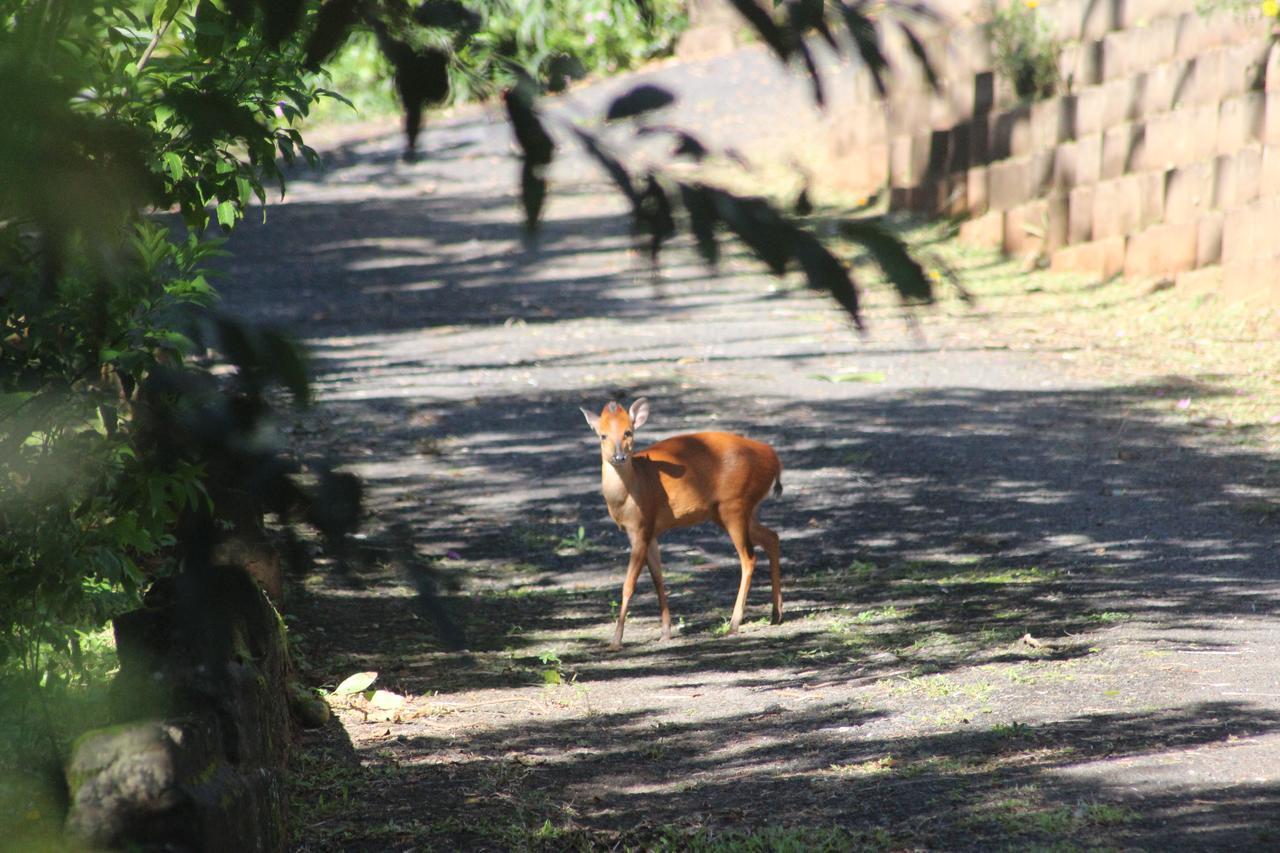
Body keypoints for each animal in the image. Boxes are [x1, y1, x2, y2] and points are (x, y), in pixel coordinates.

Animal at [578, 394, 778, 648]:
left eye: (628, 432)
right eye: (602, 435)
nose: (619, 457)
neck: (629, 495)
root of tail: (774, 458)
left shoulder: (642, 527)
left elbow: (628, 584)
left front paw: (616, 641)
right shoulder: (651, 531)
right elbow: (658, 579)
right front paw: (665, 632)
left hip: (734, 505)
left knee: (749, 558)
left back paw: (734, 625)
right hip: (728, 510)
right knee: (772, 537)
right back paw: (776, 614)